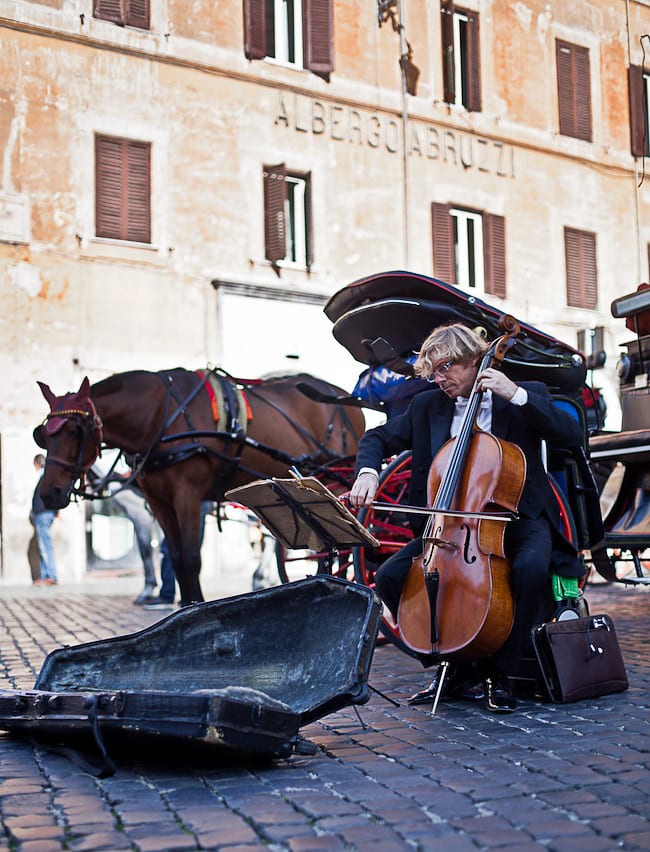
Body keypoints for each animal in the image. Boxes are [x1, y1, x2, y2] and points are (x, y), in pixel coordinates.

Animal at [34, 370, 364, 604]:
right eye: (43, 435)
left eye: (75, 431)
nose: (49, 494)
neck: (161, 416)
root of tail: (344, 398)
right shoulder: (159, 502)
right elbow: (176, 558)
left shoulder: (188, 496)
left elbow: (191, 559)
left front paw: (193, 604)